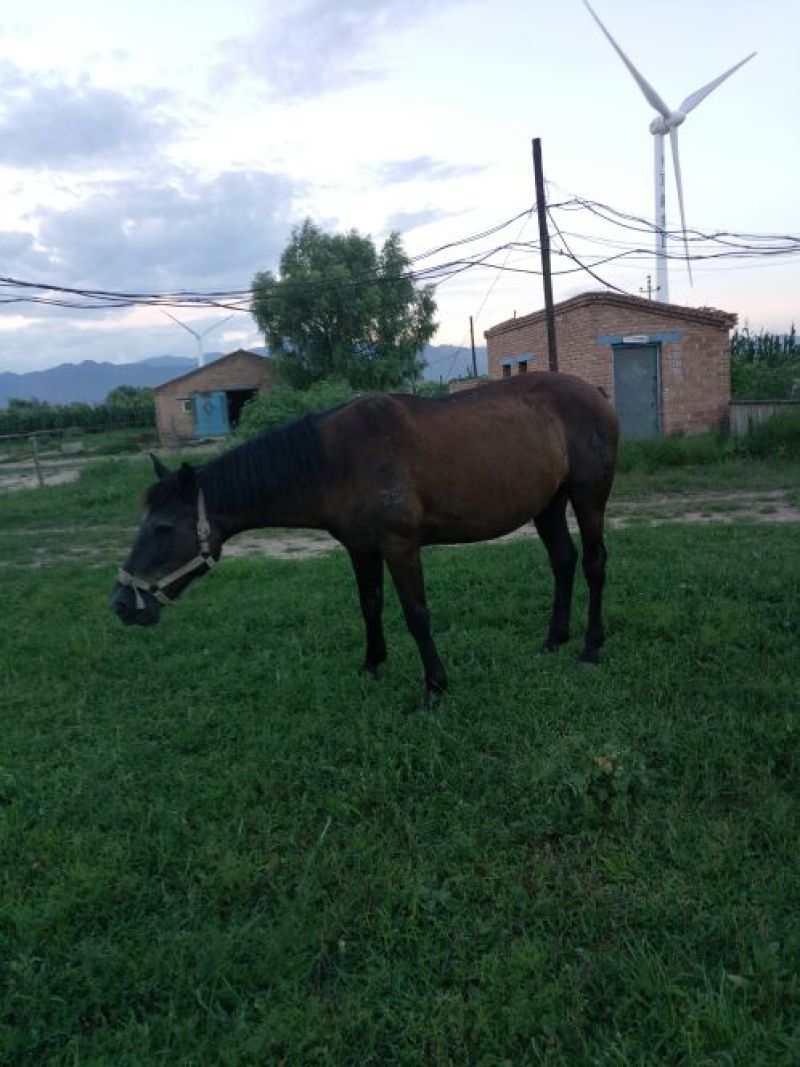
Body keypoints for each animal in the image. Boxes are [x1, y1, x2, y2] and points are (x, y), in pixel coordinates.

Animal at [111, 372, 619, 697]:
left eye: (162, 527)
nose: (121, 604)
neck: (336, 461)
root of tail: (594, 392)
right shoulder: (360, 548)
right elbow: (369, 605)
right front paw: (372, 665)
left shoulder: (400, 547)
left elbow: (416, 614)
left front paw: (435, 686)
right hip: (548, 504)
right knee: (563, 561)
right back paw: (553, 641)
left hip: (588, 496)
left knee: (594, 563)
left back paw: (591, 648)